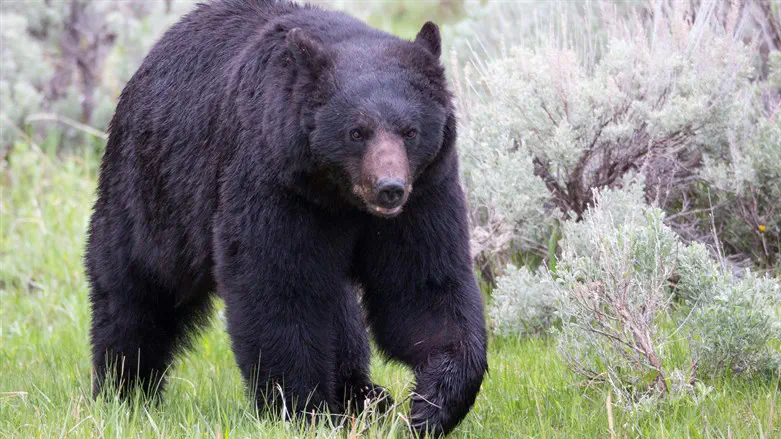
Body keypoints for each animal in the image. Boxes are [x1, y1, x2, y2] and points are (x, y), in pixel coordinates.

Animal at [87, 0, 488, 434]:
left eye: (410, 131)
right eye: (356, 132)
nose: (390, 187)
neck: (339, 197)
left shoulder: (425, 194)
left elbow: (422, 286)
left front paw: (431, 405)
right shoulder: (274, 182)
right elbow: (278, 286)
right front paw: (301, 408)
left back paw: (364, 395)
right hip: (154, 192)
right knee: (135, 288)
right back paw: (124, 389)